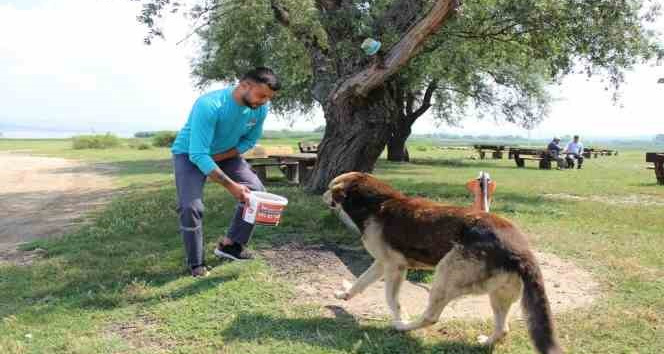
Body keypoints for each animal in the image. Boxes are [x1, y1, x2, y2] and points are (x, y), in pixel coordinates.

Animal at [324, 172, 564, 354]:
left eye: (330, 187)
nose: (323, 195)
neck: (375, 203)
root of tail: (521, 251)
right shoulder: (380, 264)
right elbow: (360, 282)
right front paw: (343, 296)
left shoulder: (394, 267)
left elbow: (393, 300)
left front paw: (400, 316)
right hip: (499, 294)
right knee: (503, 328)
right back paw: (485, 342)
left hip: (444, 274)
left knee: (430, 317)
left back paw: (404, 327)